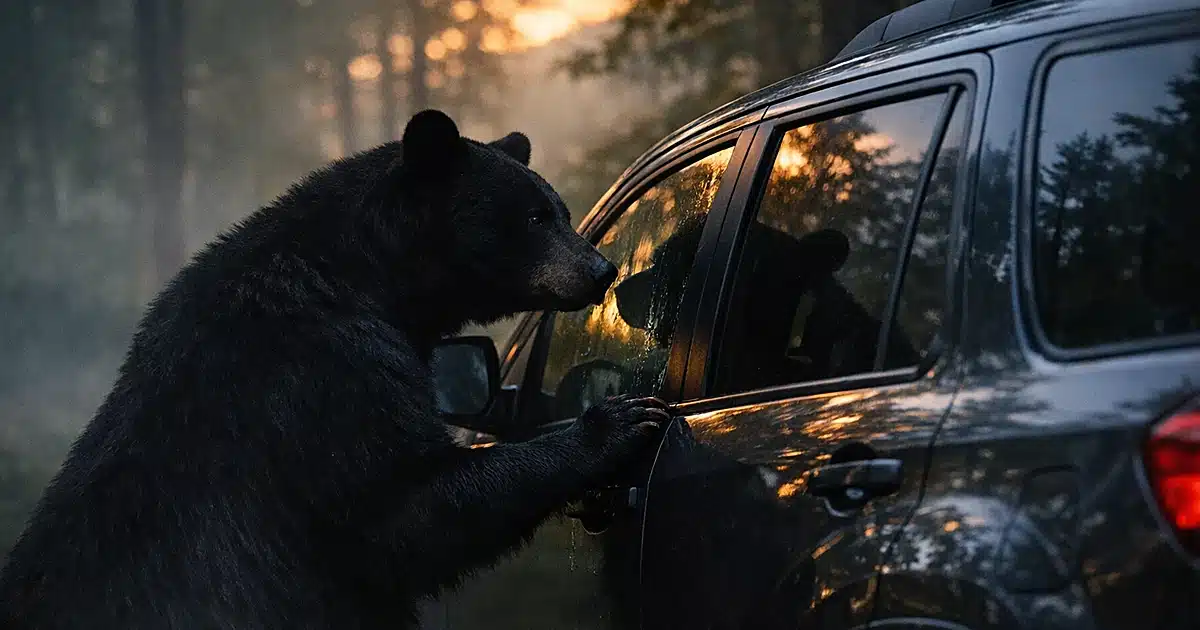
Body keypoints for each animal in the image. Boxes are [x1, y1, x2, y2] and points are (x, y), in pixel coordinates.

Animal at [0, 109, 671, 630]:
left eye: (558, 208)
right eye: (534, 217)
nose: (601, 269)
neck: (369, 276)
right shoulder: (326, 370)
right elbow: (403, 507)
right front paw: (615, 422)